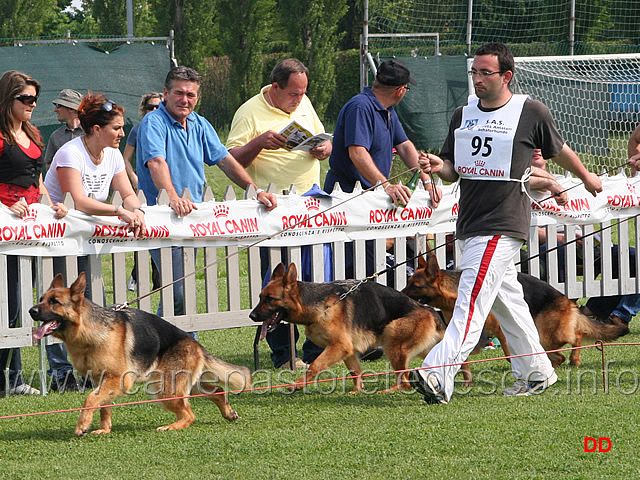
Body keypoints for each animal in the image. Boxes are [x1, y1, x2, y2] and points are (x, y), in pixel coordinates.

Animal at [30, 274, 251, 436]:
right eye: (41, 299)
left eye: (54, 302)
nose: (31, 311)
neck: (89, 331)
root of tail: (195, 344)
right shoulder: (102, 380)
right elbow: (103, 405)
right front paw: (104, 429)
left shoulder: (117, 379)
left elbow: (91, 399)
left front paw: (82, 425)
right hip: (186, 384)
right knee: (217, 391)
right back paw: (228, 413)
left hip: (164, 388)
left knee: (189, 414)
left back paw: (171, 426)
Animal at [249, 262, 444, 394]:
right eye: (260, 297)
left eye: (270, 299)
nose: (251, 316)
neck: (320, 305)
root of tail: (430, 312)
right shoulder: (348, 349)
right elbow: (355, 371)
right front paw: (358, 391)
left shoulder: (339, 346)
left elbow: (315, 365)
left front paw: (297, 384)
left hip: (392, 336)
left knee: (405, 381)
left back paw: (389, 390)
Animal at [402, 255, 628, 372]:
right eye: (408, 283)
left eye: (415, 286)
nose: (399, 295)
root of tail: (565, 299)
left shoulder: (502, 331)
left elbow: (510, 353)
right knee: (569, 341)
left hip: (549, 335)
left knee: (577, 335)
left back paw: (571, 359)